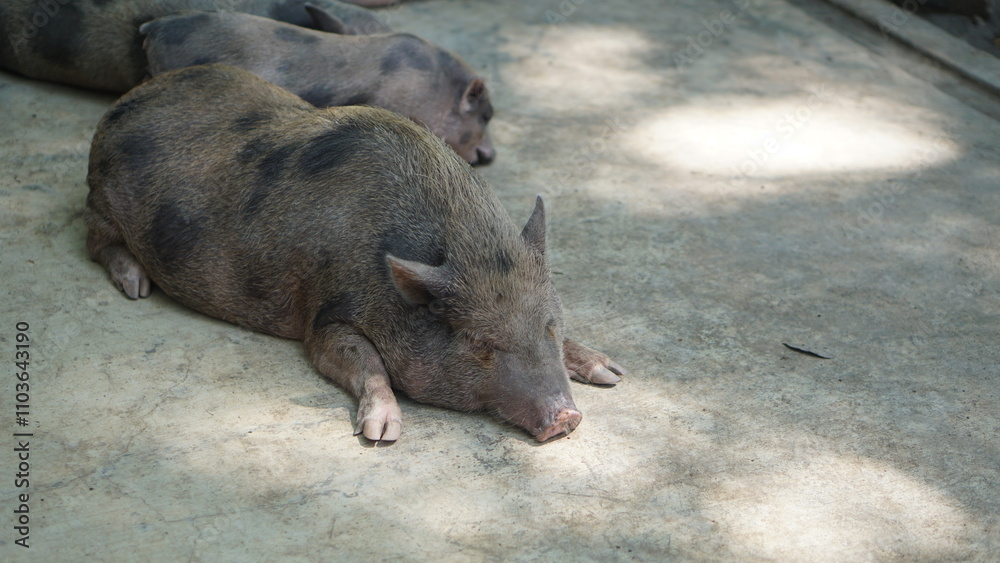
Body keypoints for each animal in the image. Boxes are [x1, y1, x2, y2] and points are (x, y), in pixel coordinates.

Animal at [85, 64, 624, 443]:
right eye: (481, 343)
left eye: (549, 326)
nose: (567, 417)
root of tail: (127, 99)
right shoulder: (324, 316)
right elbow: (365, 362)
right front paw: (382, 434)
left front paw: (613, 373)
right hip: (100, 200)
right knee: (97, 243)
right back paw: (137, 287)